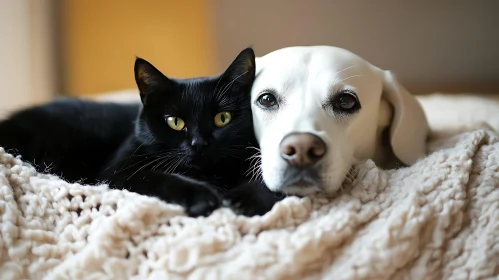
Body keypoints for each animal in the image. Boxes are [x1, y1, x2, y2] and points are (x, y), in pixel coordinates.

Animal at [0, 47, 284, 217]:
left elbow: (266, 180)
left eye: (222, 118)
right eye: (174, 122)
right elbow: (159, 177)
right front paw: (202, 196)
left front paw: (246, 199)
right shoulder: (117, 172)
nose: (199, 143)